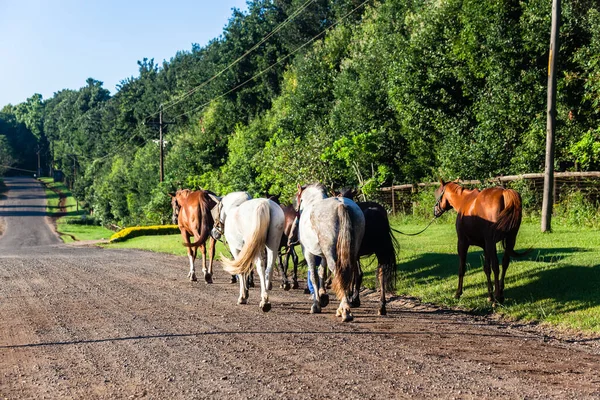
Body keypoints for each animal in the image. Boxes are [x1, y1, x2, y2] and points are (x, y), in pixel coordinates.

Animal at [296, 184, 366, 322]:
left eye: (298, 198)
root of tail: (341, 205)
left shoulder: (308, 253)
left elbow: (314, 276)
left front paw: (316, 304)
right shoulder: (323, 255)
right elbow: (321, 272)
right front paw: (323, 296)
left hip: (332, 254)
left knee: (339, 273)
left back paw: (345, 310)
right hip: (351, 252)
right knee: (350, 273)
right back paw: (344, 307)